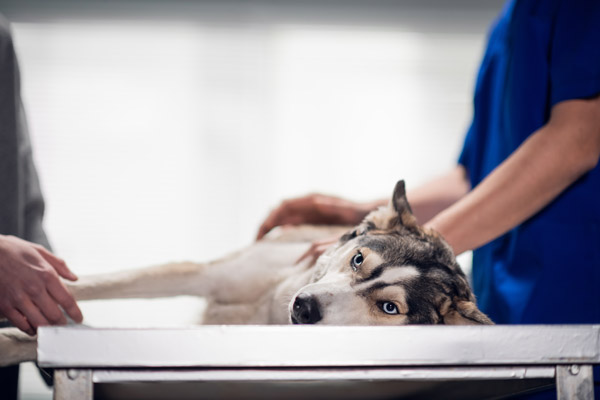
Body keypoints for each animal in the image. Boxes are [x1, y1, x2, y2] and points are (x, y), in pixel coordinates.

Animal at [0, 180, 492, 368]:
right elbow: (80, 288)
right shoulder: (201, 274)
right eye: (358, 261)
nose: (304, 305)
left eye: (388, 307)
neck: (270, 306)